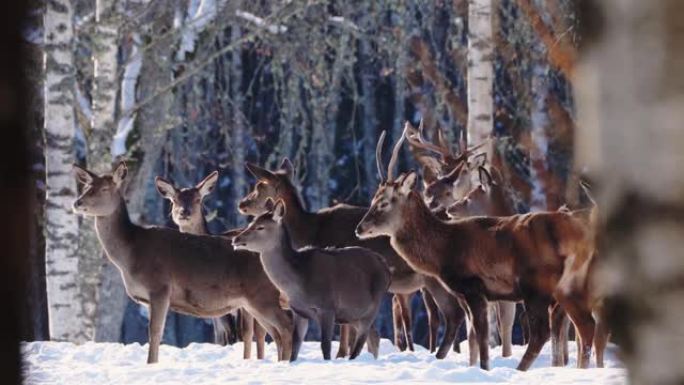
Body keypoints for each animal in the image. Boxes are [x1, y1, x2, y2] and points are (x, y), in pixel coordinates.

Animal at [232, 200, 390, 358]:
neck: (299, 283)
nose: (236, 239)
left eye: (260, 227)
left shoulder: (327, 307)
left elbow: (325, 346)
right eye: (250, 223)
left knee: (362, 340)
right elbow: (295, 346)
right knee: (374, 335)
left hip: (373, 306)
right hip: (353, 314)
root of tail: (385, 267)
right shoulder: (299, 312)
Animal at [358, 126, 600, 368]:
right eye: (372, 199)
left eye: (384, 202)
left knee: (547, 331)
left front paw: (484, 368)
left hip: (538, 285)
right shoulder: (478, 294)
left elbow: (482, 335)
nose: (360, 228)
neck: (444, 249)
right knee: (583, 326)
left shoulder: (473, 285)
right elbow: (478, 337)